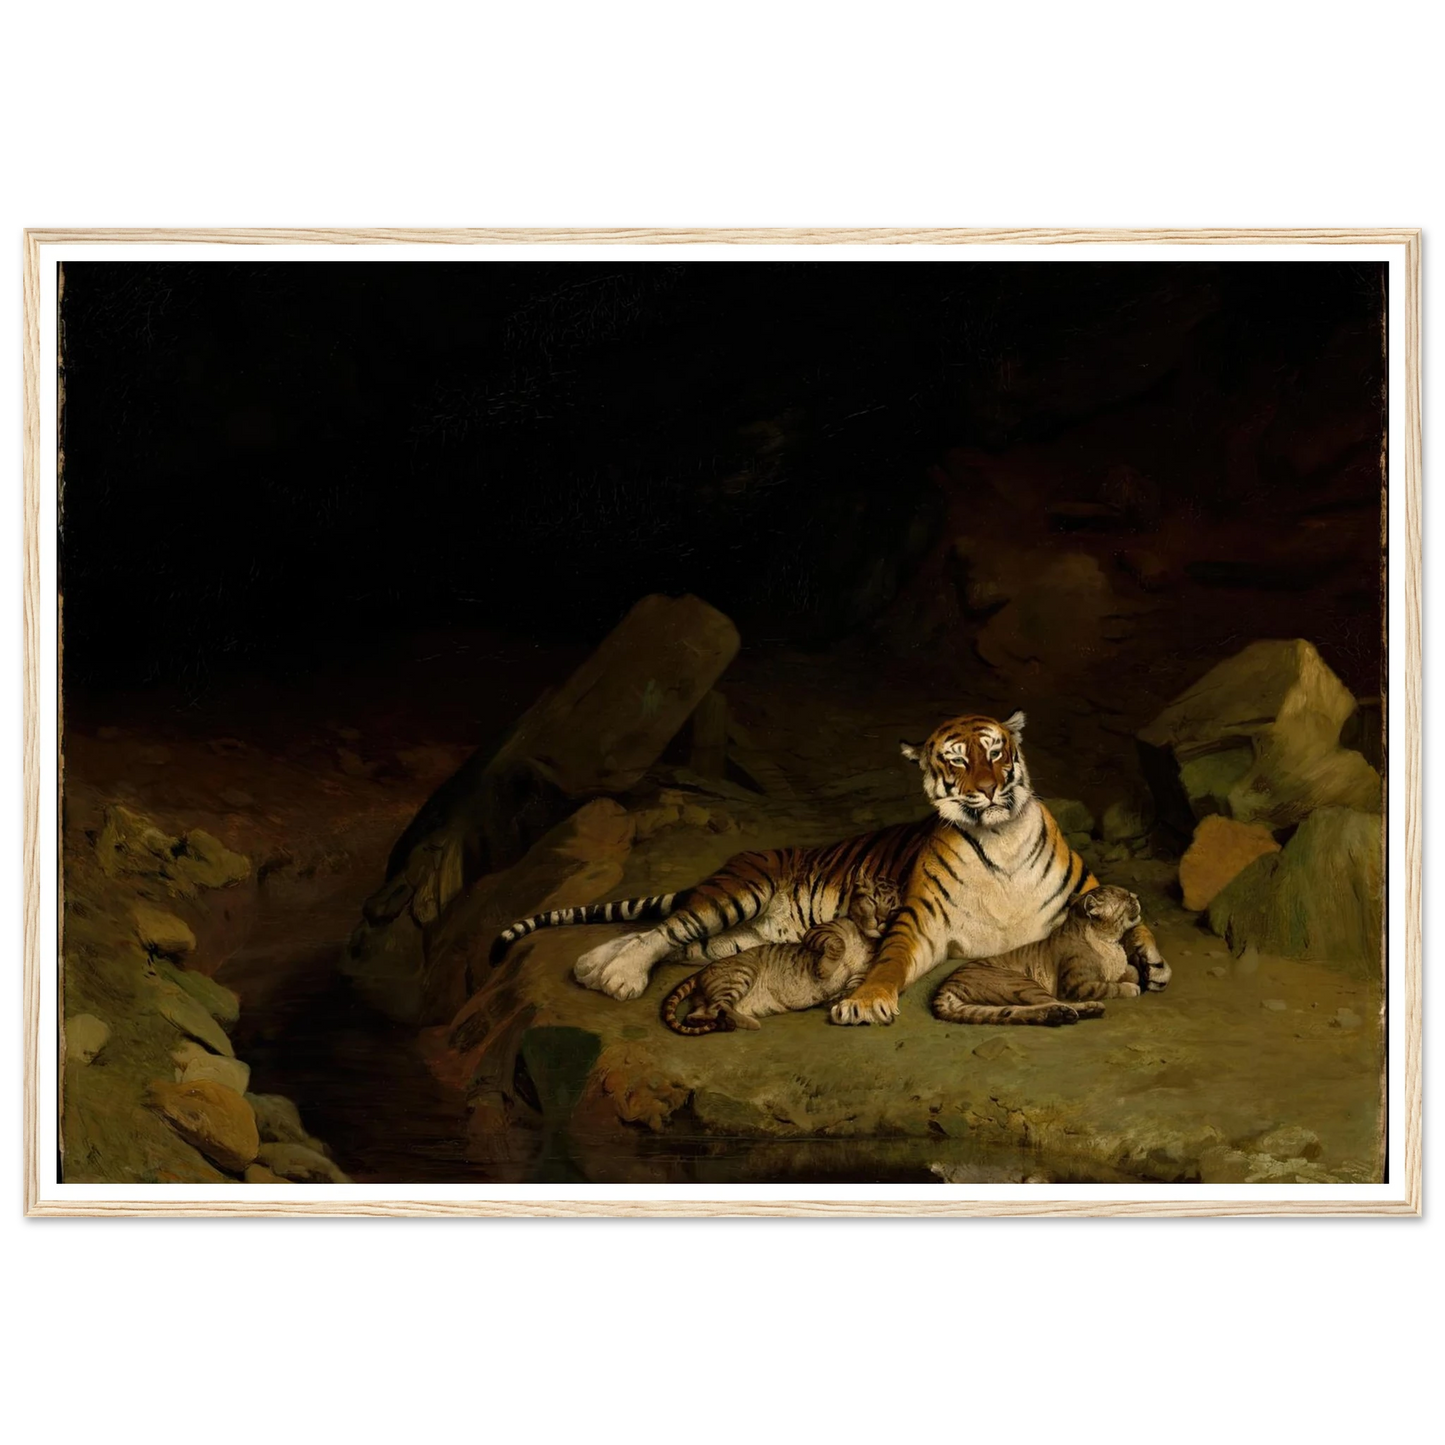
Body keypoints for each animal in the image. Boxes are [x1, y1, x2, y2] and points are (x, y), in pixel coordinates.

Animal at [491, 710, 1134, 1026]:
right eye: (957, 760)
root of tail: (747, 856)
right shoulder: (918, 920)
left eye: (997, 752)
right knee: (664, 928)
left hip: (734, 940)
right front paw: (866, 1003)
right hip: (737, 895)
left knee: (662, 937)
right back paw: (616, 976)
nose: (991, 788)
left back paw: (594, 967)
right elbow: (890, 961)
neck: (998, 839)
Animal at [931, 884, 1170, 1026]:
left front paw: (1140, 973)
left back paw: (1059, 1015)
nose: (1137, 896)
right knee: (1052, 1002)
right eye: (1126, 897)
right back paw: (1084, 1009)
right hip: (1022, 983)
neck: (1110, 941)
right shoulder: (1076, 985)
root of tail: (944, 988)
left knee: (1013, 1011)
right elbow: (1108, 986)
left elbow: (1128, 970)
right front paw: (1131, 986)